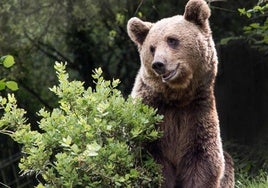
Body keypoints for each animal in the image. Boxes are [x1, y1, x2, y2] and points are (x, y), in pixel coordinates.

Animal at [126, 0, 233, 187]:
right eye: (152, 48)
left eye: (172, 40)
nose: (158, 64)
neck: (178, 97)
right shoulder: (151, 115)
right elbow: (149, 160)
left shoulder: (196, 113)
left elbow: (204, 160)